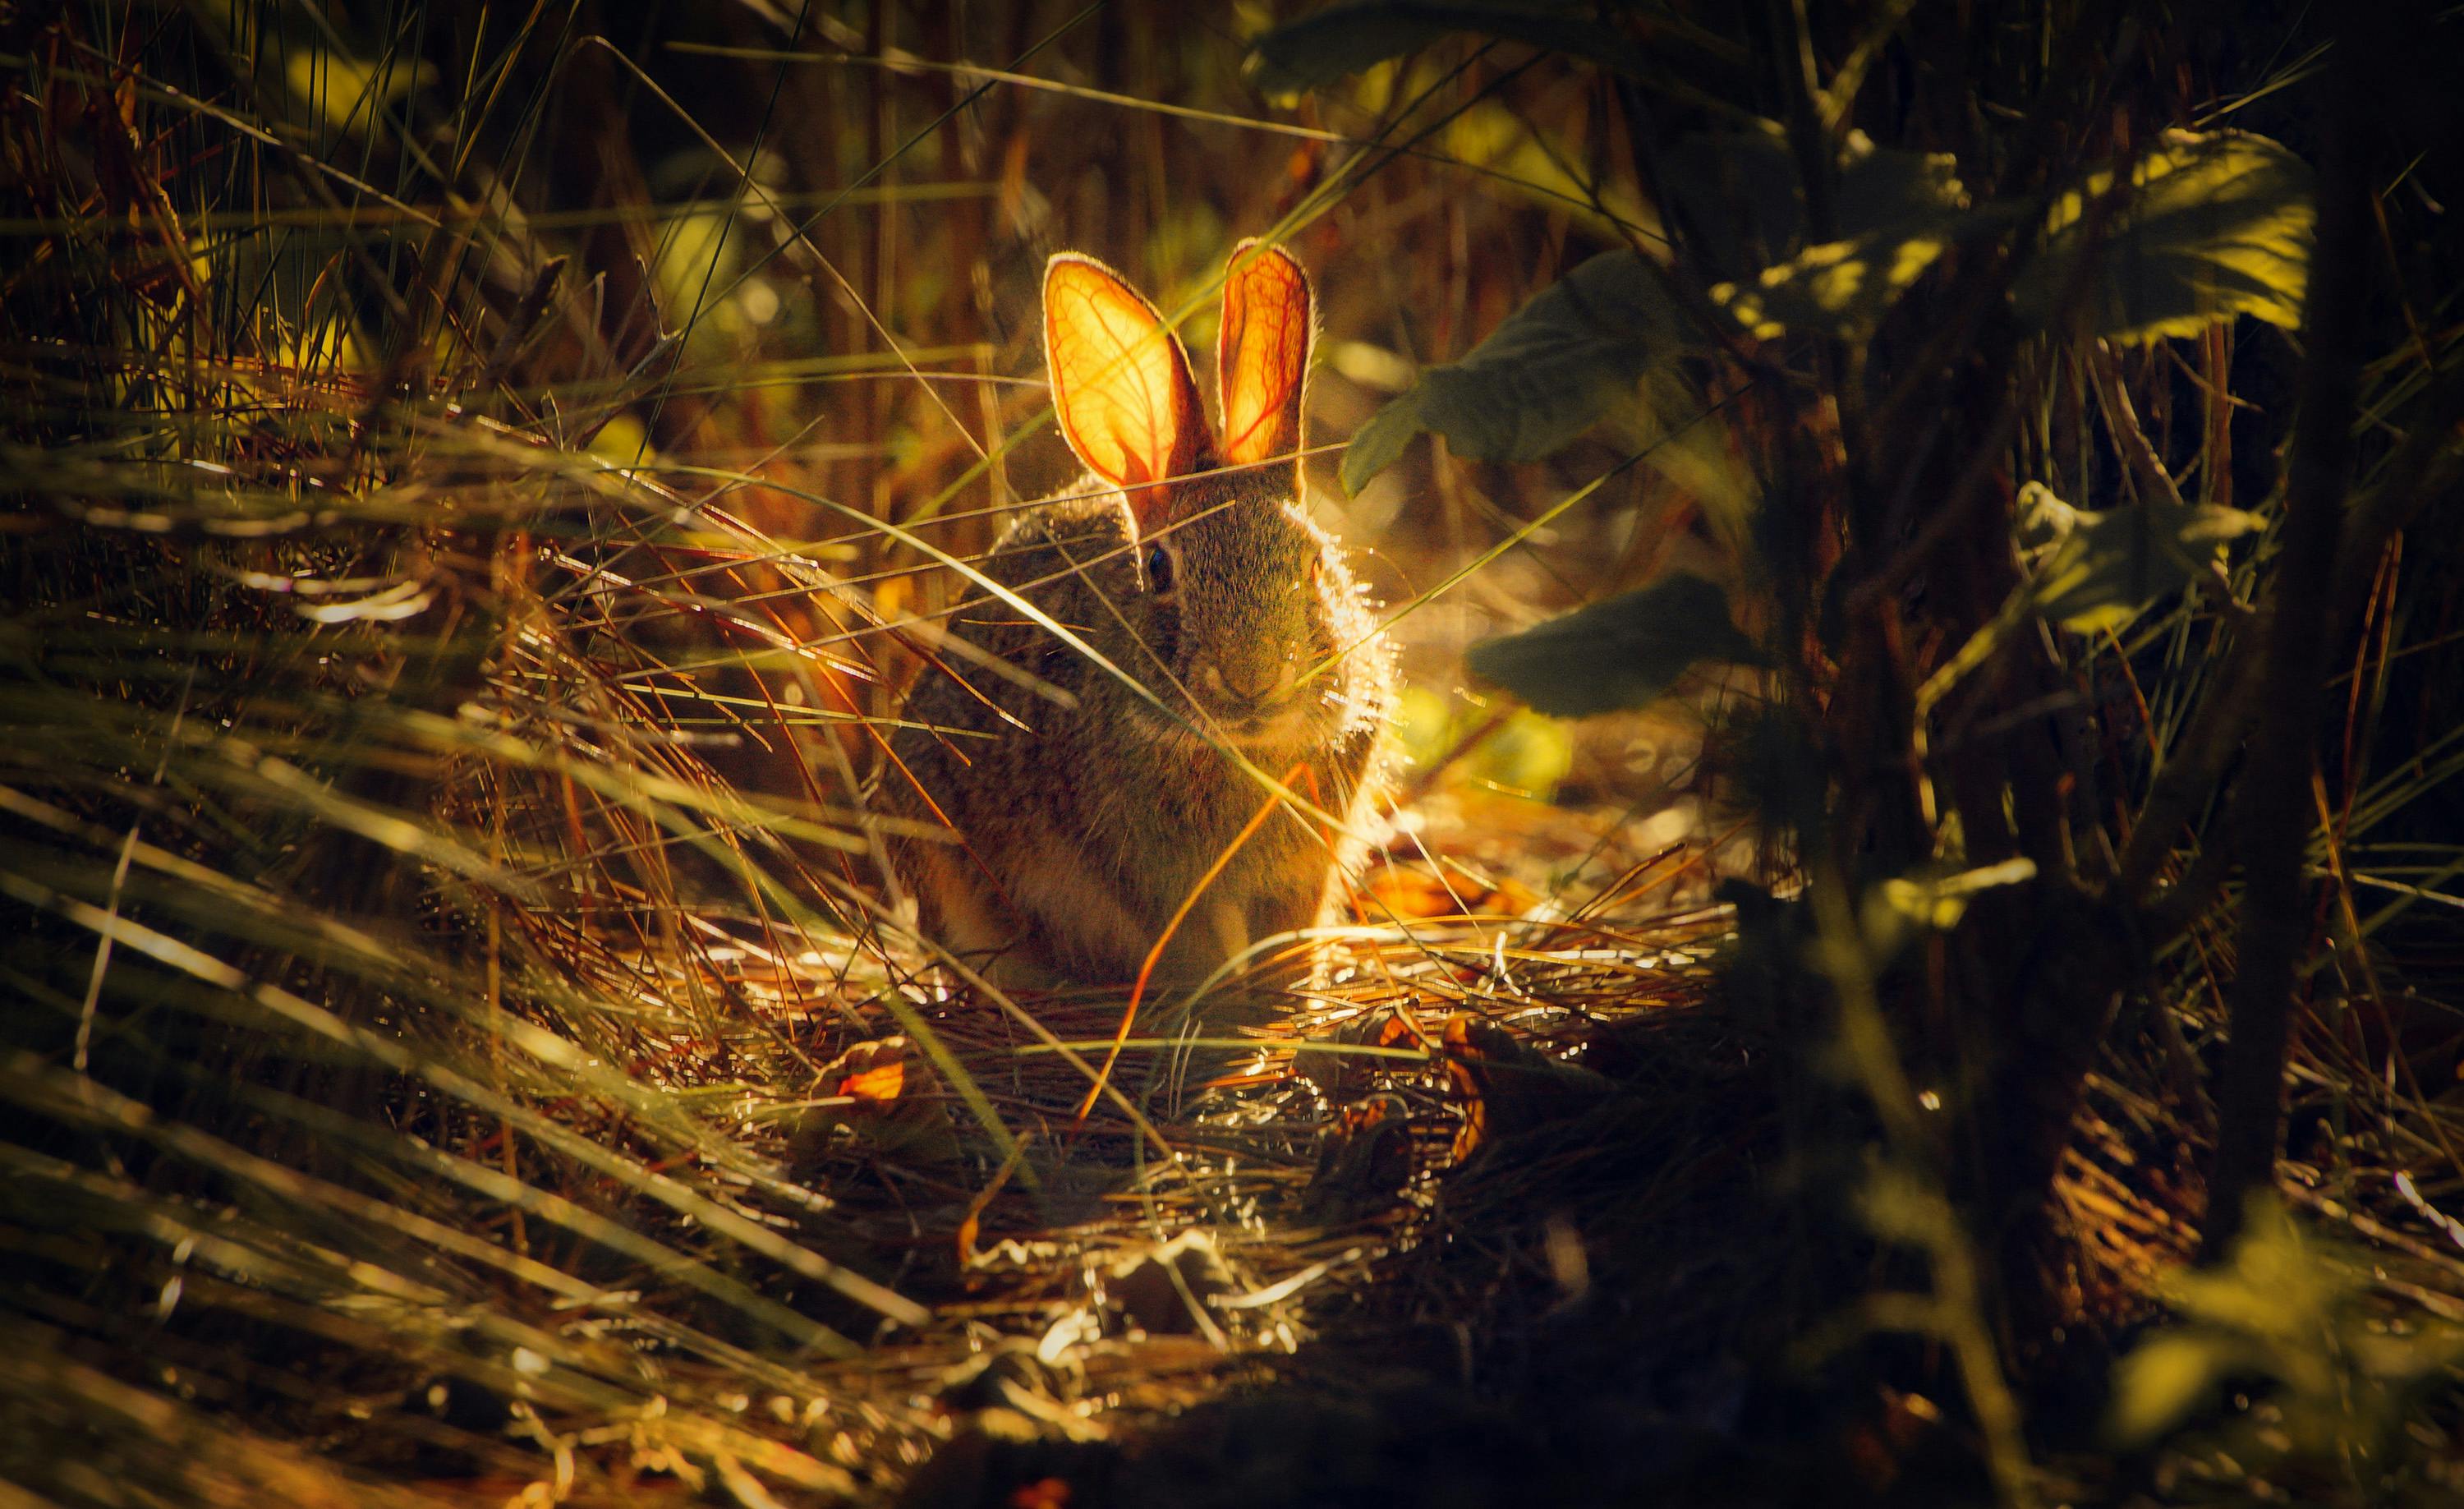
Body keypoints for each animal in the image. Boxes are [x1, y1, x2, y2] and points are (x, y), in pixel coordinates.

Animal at [876, 240, 1393, 996]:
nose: (1252, 680)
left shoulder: (1303, 872)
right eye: (1158, 570)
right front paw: (1217, 995)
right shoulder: (1144, 876)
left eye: (1314, 563)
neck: (1239, 750)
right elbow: (1192, 941)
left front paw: (1285, 986)